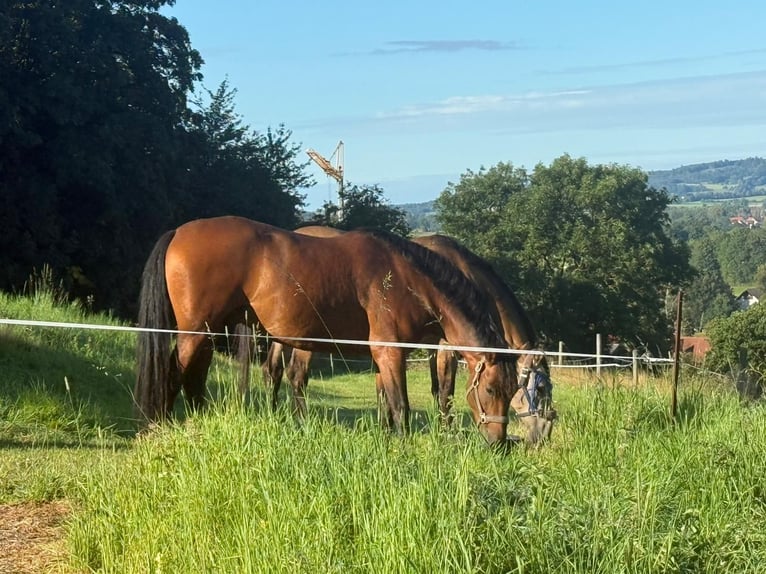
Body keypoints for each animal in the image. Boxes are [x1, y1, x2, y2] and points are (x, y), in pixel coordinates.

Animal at [134, 216, 516, 445]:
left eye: (514, 391)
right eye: (491, 389)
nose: (499, 443)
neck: (408, 279)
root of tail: (178, 233)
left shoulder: (381, 357)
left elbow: (384, 403)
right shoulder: (391, 352)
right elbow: (400, 407)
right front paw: (402, 447)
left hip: (209, 334)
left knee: (195, 380)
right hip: (194, 334)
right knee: (174, 375)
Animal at [262, 227, 556, 445]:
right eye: (540, 388)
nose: (544, 434)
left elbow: (391, 392)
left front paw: (387, 431)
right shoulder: (443, 347)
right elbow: (444, 391)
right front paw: (446, 433)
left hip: (282, 336)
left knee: (272, 370)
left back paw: (275, 414)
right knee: (297, 375)